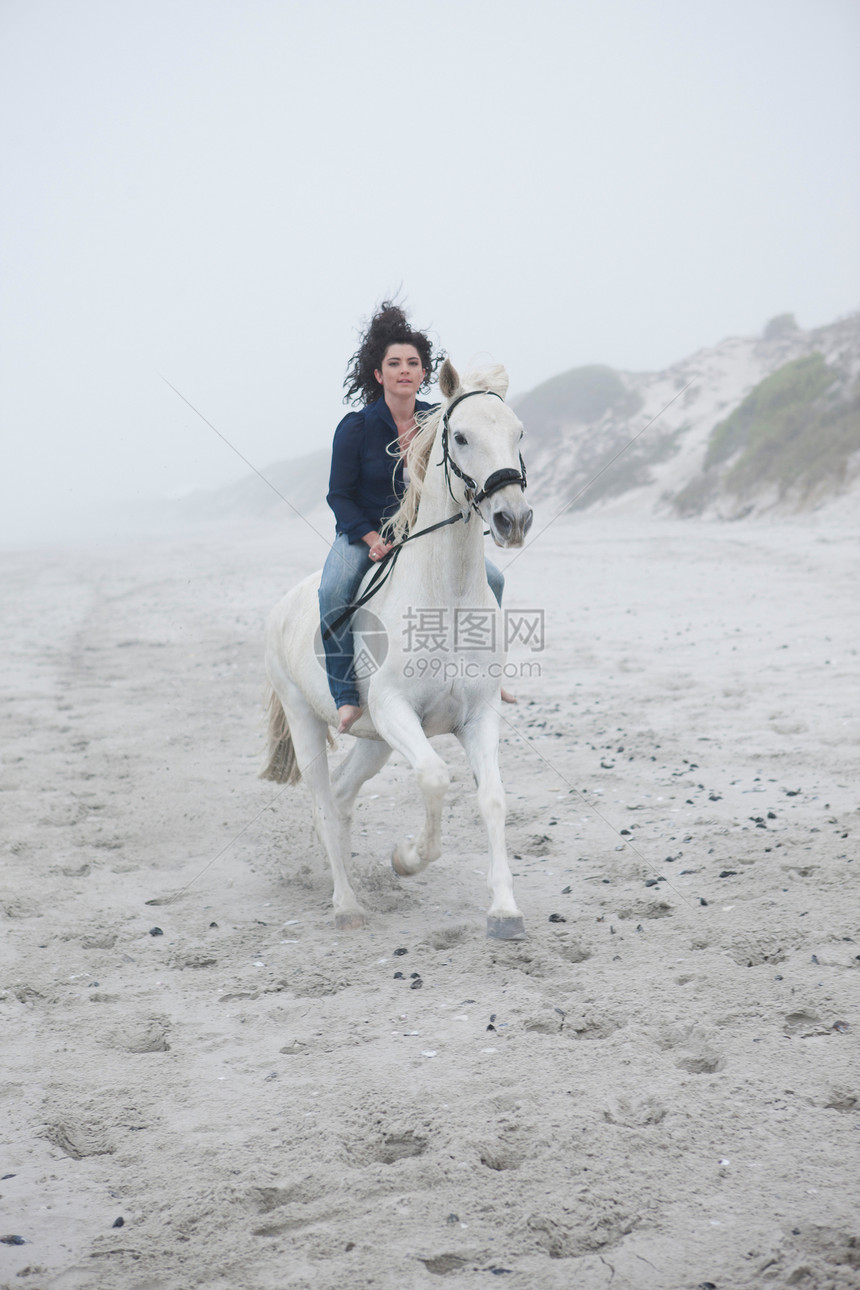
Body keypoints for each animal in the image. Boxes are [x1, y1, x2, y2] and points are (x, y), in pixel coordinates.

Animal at [259, 361, 533, 939]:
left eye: (518, 433)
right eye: (461, 436)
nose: (513, 519)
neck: (445, 599)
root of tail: (283, 606)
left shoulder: (478, 716)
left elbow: (492, 798)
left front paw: (504, 910)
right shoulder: (396, 711)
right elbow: (435, 777)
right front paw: (407, 858)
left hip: (374, 740)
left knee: (342, 796)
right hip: (308, 719)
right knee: (323, 803)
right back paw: (346, 903)